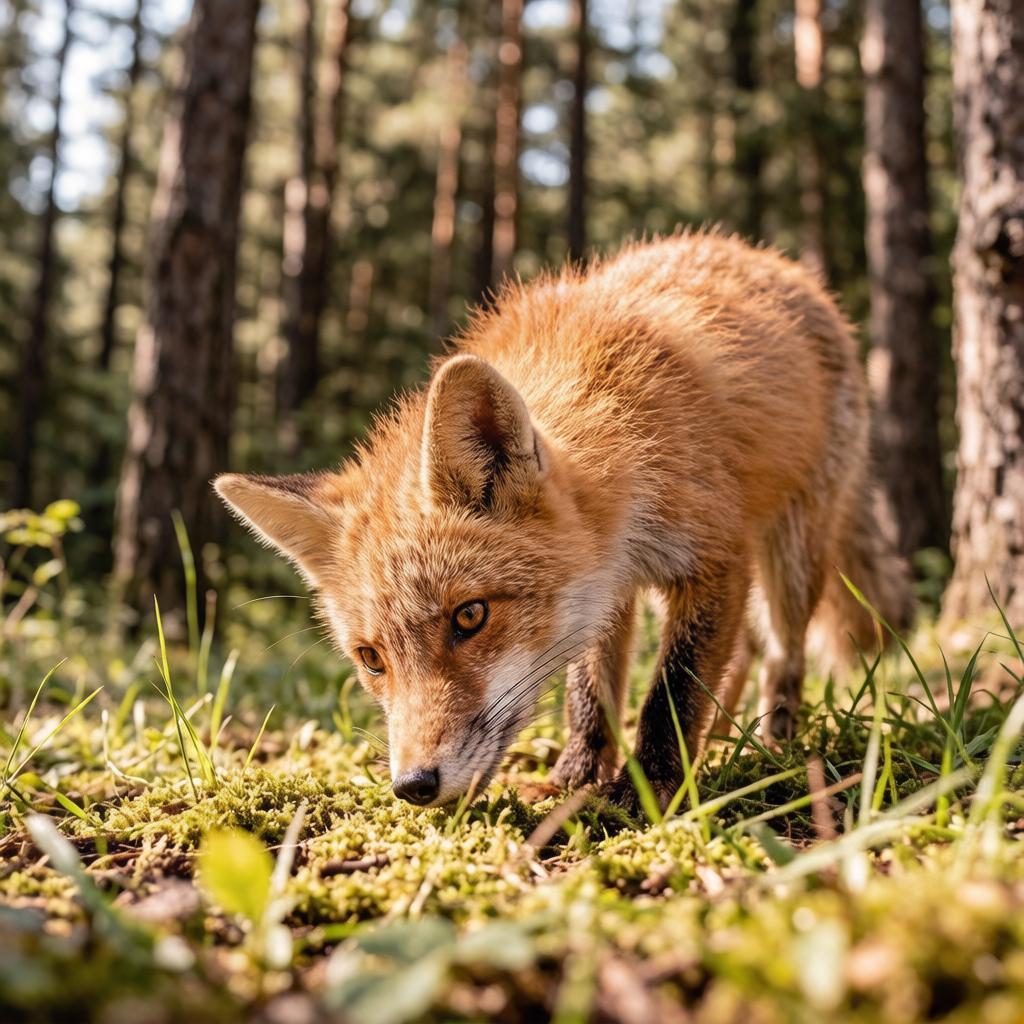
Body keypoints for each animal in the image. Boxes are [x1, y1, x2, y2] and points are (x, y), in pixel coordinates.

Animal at [215, 231, 913, 815]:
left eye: (469, 616)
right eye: (370, 658)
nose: (413, 786)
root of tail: (774, 261)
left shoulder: (714, 555)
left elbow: (672, 691)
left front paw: (647, 790)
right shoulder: (610, 587)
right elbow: (590, 694)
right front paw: (574, 779)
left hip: (790, 560)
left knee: (784, 655)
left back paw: (776, 743)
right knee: (744, 650)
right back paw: (721, 737)